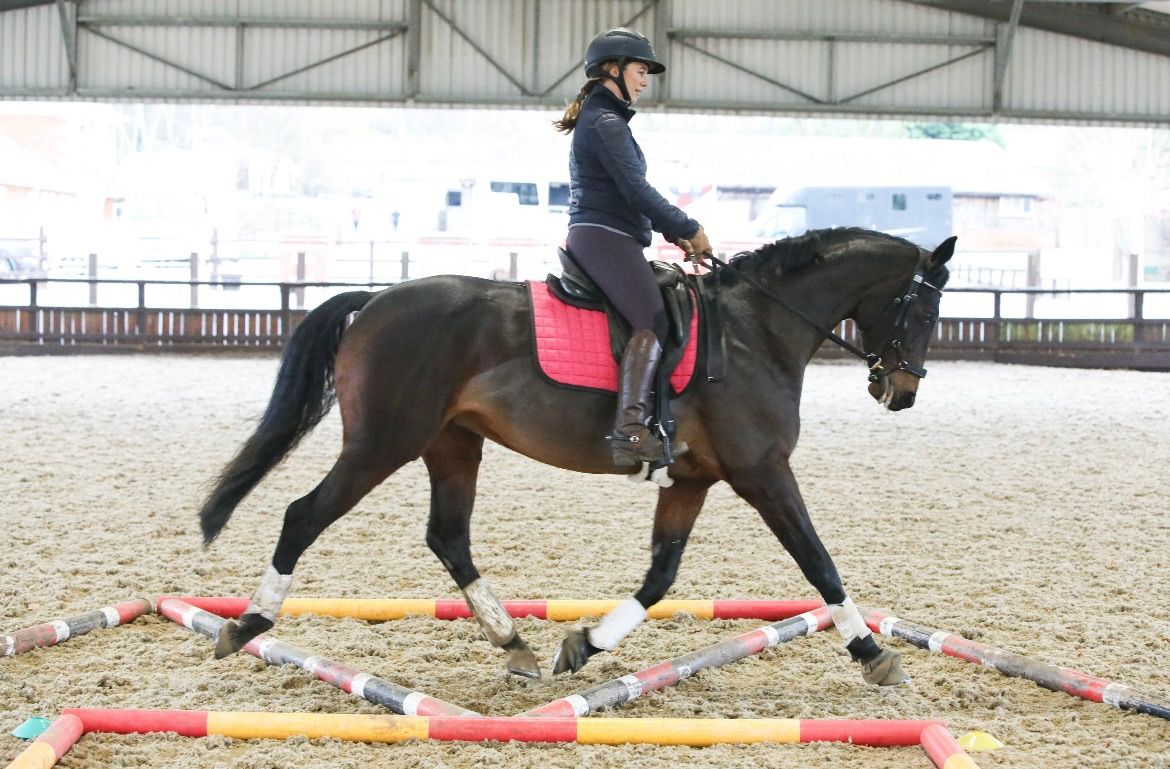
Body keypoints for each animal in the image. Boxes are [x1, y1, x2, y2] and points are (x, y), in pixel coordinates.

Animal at [198, 225, 950, 683]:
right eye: (923, 310)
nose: (904, 391)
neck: (755, 330)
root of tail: (377, 299)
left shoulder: (693, 479)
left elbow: (660, 575)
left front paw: (583, 645)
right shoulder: (762, 472)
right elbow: (819, 561)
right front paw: (873, 653)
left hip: (453, 443)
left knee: (448, 536)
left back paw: (514, 642)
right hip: (383, 444)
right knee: (303, 515)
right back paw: (247, 624)